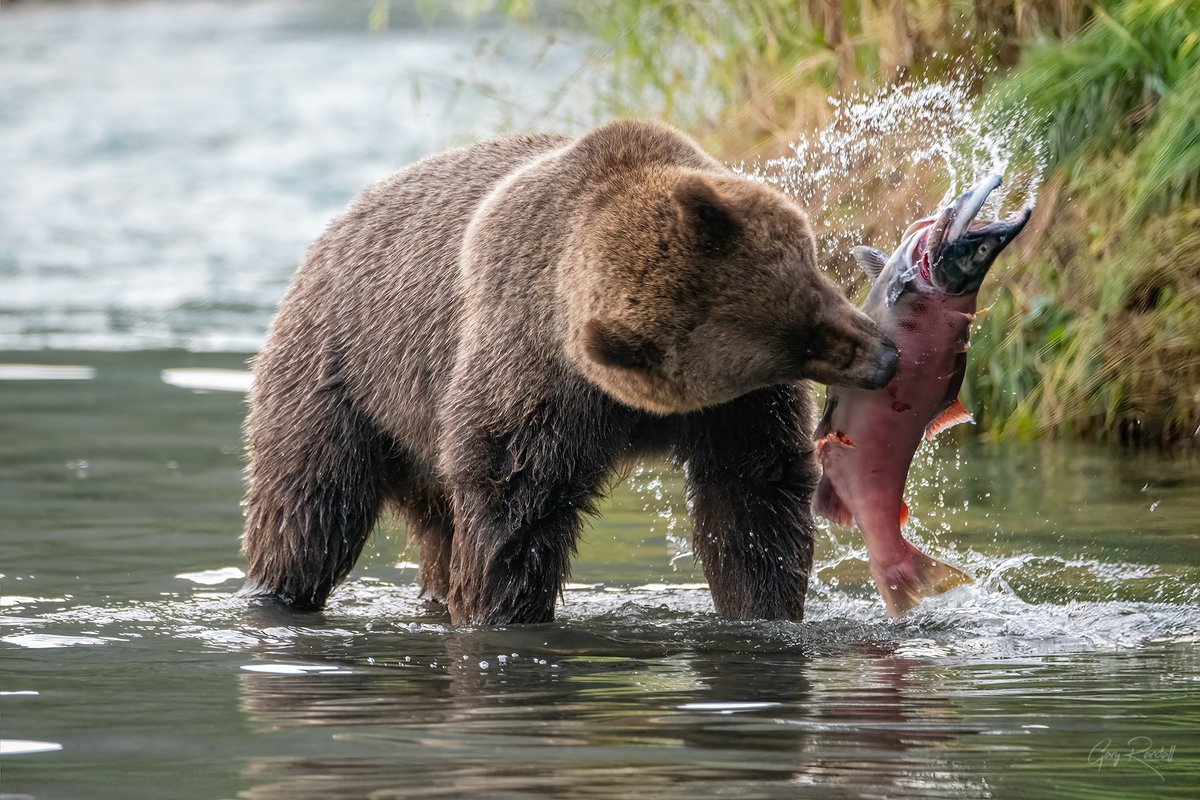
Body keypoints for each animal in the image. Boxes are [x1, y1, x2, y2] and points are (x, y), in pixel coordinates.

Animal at [240, 119, 899, 625]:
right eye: (795, 342)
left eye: (810, 295)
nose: (885, 358)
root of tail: (327, 236)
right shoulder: (537, 381)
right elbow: (516, 509)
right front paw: (503, 609)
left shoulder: (733, 410)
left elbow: (751, 493)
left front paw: (763, 604)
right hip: (344, 379)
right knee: (311, 508)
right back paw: (277, 591)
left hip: (414, 430)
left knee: (433, 527)